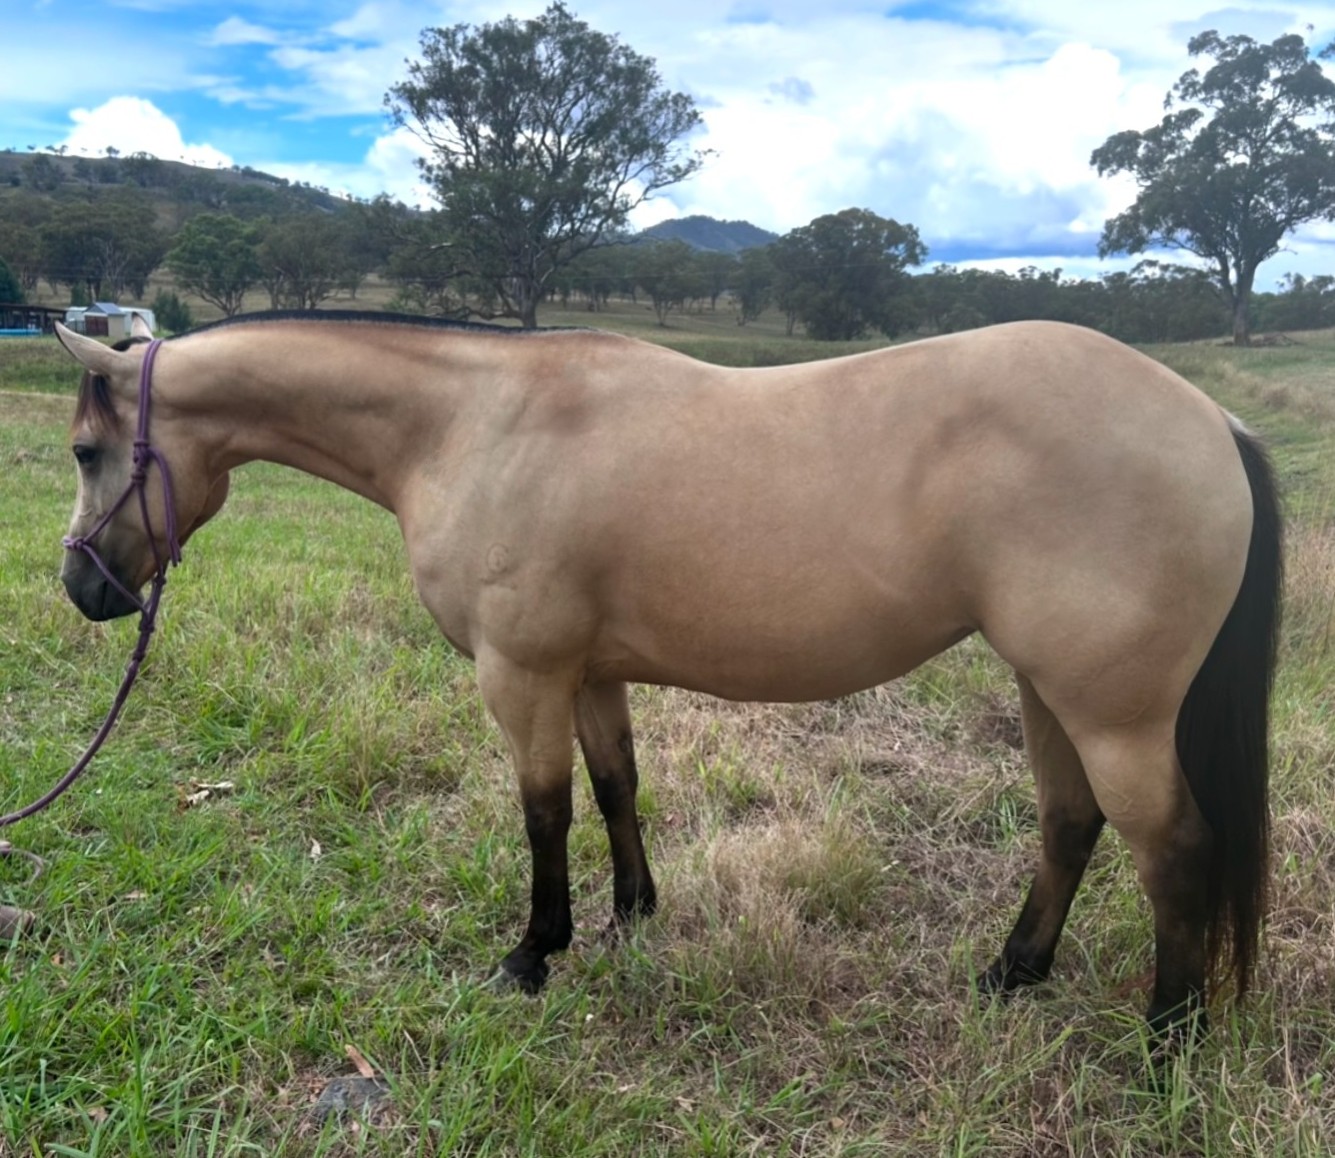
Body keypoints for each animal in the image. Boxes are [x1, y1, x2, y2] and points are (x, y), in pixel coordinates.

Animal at [52, 310, 1281, 1039]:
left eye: (84, 450)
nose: (81, 589)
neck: (471, 424)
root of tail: (1208, 420)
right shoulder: (590, 673)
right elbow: (613, 788)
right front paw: (634, 914)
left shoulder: (523, 676)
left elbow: (543, 810)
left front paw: (533, 954)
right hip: (1047, 692)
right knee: (1070, 824)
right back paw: (1012, 973)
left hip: (1115, 714)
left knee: (1175, 855)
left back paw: (1166, 1038)